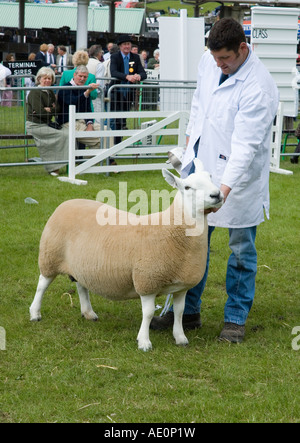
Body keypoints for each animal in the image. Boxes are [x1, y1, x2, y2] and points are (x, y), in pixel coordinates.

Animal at [29, 160, 223, 350]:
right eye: (187, 187)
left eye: (210, 177)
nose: (217, 194)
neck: (171, 229)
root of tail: (67, 203)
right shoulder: (146, 281)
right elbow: (148, 313)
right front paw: (144, 342)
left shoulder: (181, 286)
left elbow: (180, 312)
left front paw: (180, 338)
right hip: (50, 256)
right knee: (41, 284)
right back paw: (35, 313)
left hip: (80, 263)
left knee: (81, 285)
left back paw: (88, 313)